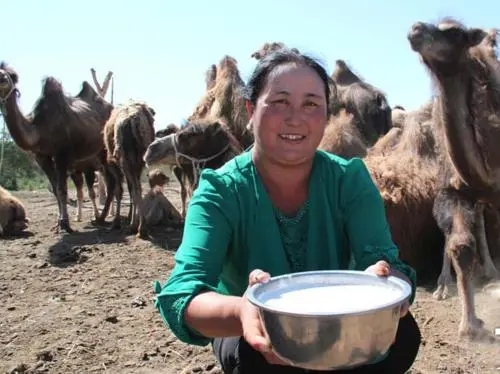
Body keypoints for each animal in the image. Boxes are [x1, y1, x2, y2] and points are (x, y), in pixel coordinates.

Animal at [0, 64, 113, 234]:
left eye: (8, 76)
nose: (1, 78)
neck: (39, 129)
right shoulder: (41, 157)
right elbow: (55, 189)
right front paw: (58, 223)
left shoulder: (62, 154)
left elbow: (61, 189)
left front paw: (65, 224)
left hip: (104, 150)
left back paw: (102, 217)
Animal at [99, 98, 157, 235]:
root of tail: (133, 120)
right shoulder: (136, 164)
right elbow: (130, 190)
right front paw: (130, 217)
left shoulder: (113, 165)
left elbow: (119, 191)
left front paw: (117, 222)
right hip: (140, 157)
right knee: (138, 187)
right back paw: (141, 226)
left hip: (123, 159)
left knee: (133, 187)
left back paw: (138, 227)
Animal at [408, 18, 500, 338]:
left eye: (456, 32)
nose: (416, 29)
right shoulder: (452, 189)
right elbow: (459, 243)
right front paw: (469, 324)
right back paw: (443, 286)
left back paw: (490, 271)